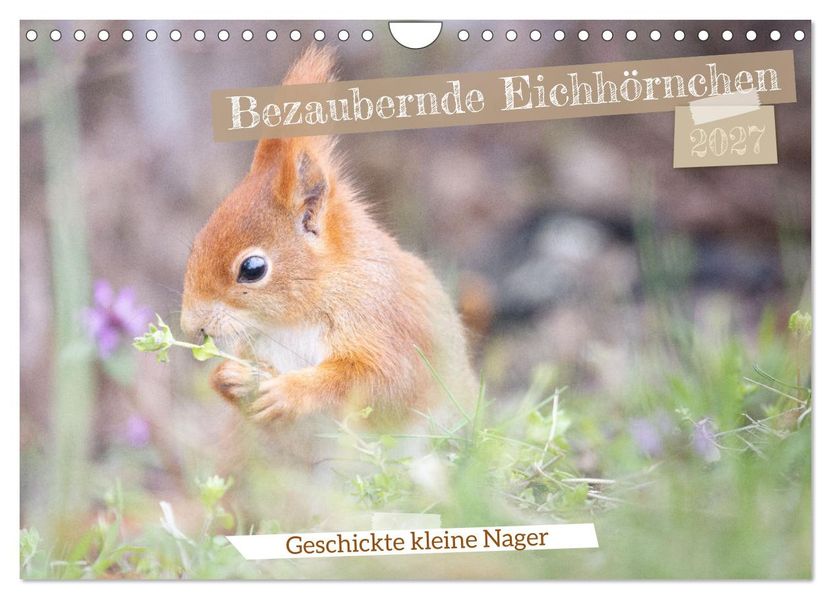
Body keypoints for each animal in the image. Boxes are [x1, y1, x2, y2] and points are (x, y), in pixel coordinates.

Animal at [180, 47, 477, 428]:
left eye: (252, 269)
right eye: (196, 244)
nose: (191, 327)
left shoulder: (385, 323)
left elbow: (386, 381)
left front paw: (289, 392)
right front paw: (231, 376)